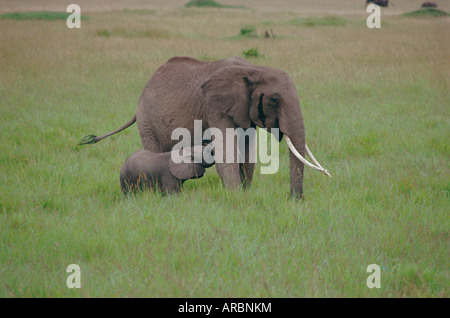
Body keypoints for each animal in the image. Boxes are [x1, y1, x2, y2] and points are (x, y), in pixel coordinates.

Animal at [79, 56, 328, 198]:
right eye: (274, 100)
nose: (295, 200)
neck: (254, 69)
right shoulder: (214, 106)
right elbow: (227, 152)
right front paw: (236, 199)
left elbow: (247, 154)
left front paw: (245, 194)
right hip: (147, 120)